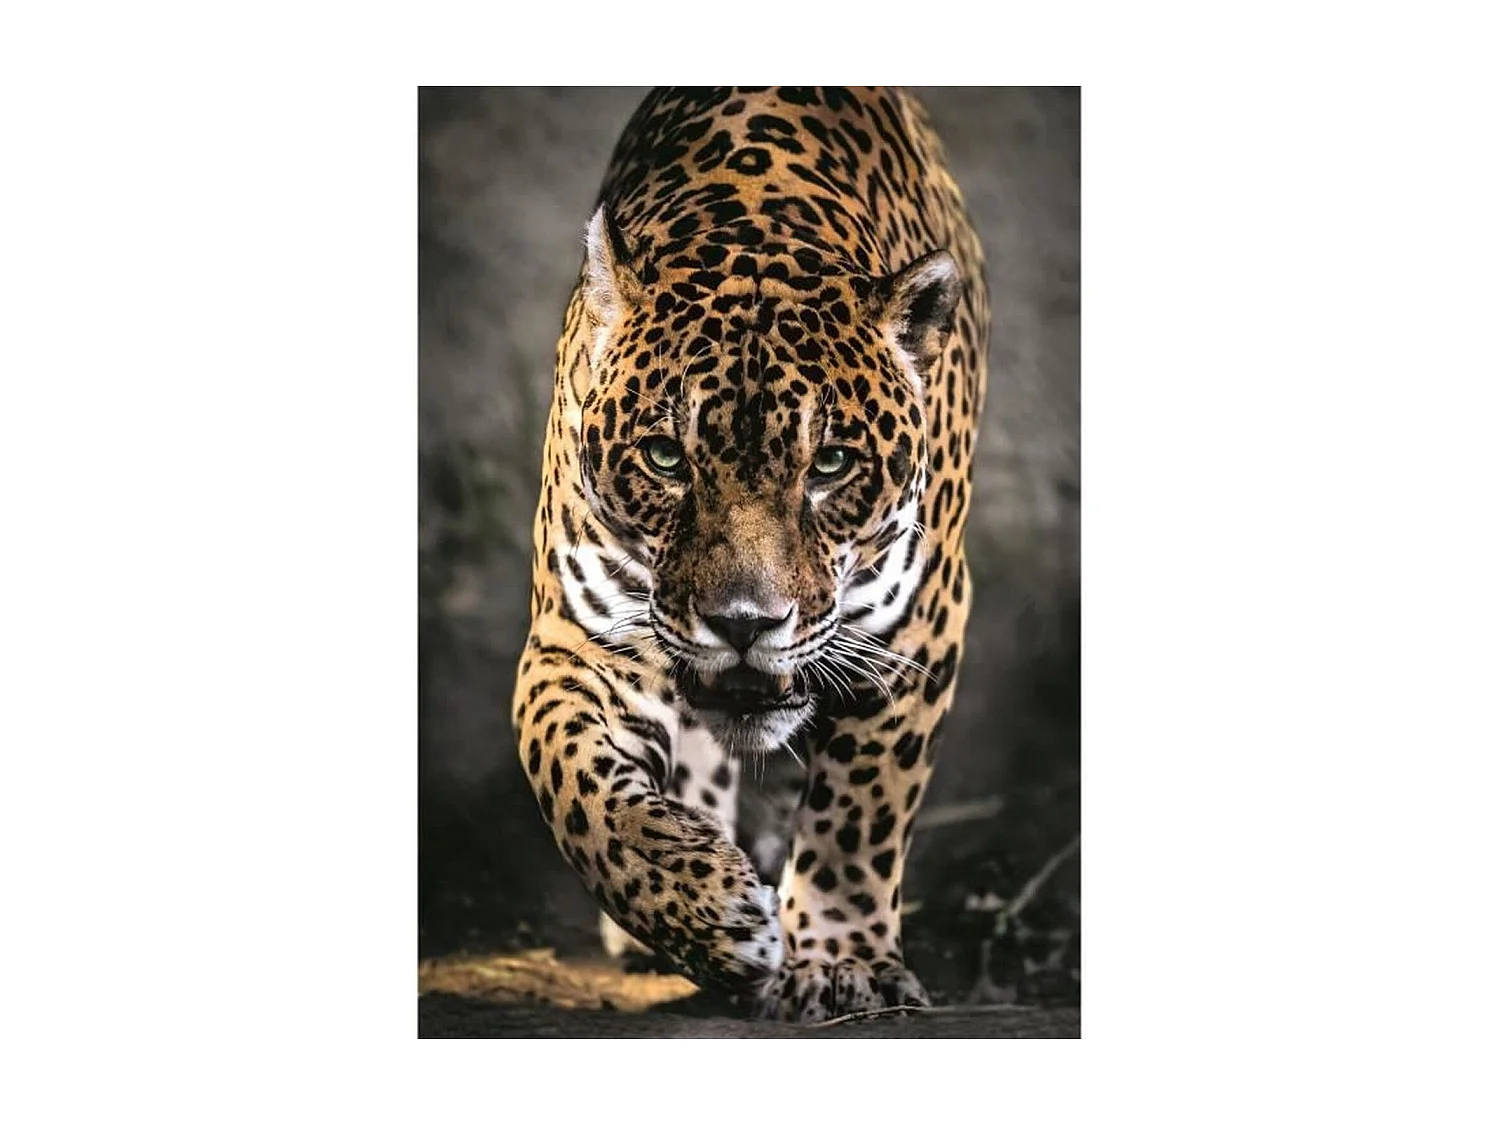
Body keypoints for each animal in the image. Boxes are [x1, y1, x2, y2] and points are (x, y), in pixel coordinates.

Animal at [513, 86, 988, 1021]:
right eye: (666, 457)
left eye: (830, 464)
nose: (744, 623)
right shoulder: (574, 637)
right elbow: (574, 781)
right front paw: (707, 911)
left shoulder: (918, 627)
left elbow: (861, 809)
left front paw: (842, 961)